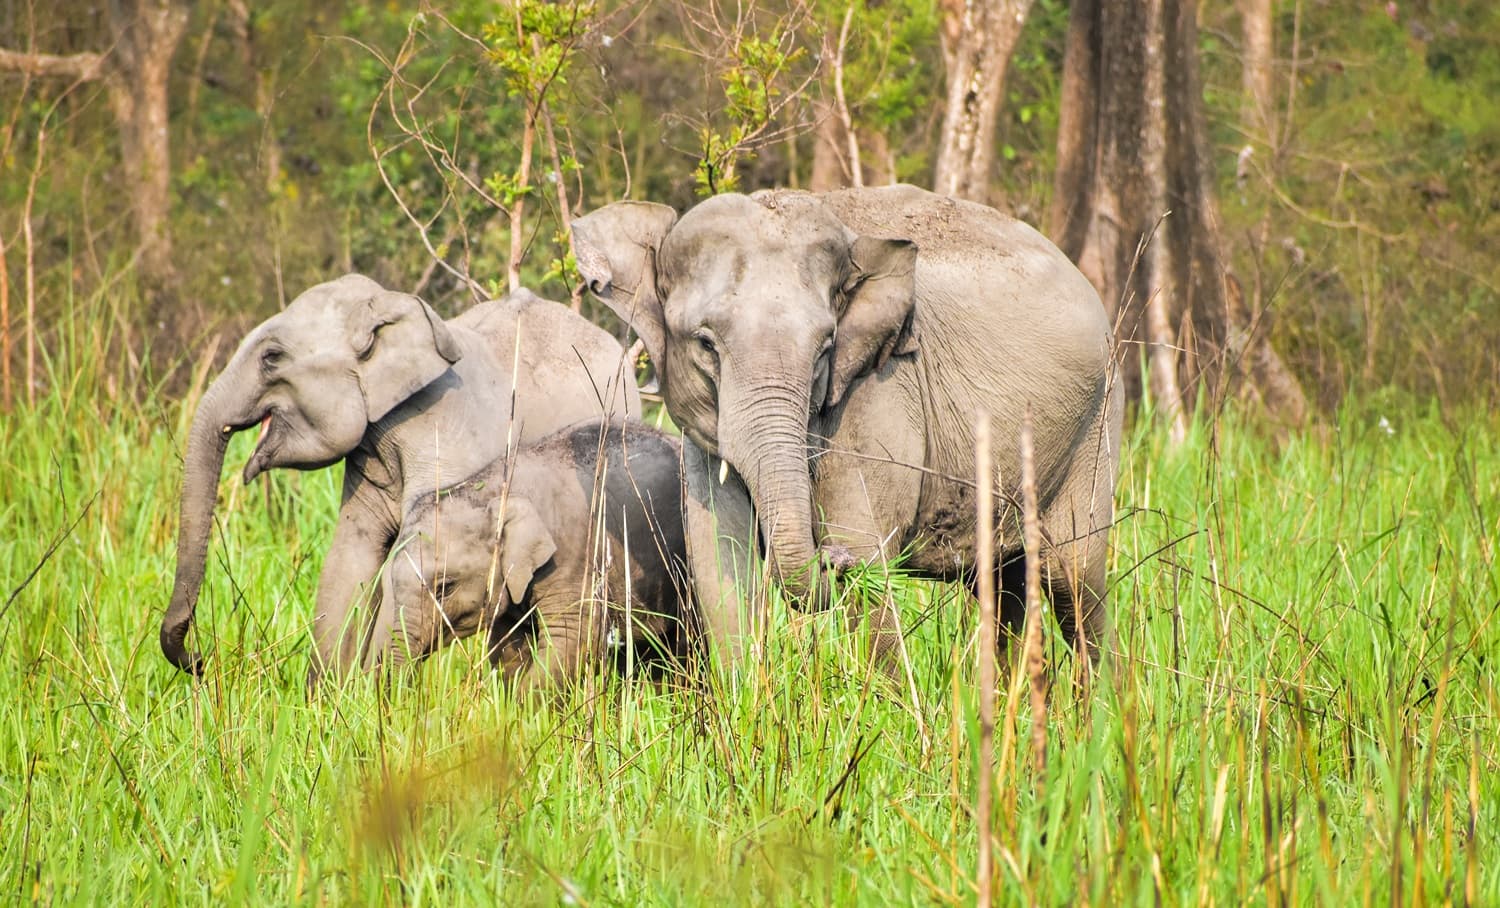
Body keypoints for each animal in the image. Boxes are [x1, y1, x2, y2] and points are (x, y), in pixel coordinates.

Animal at [160, 273, 641, 682]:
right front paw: (329, 704)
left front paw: (373, 700)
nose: (200, 661)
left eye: (271, 357)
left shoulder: (447, 437)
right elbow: (351, 554)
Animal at [571, 183, 1122, 665]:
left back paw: (1098, 711)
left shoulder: (878, 392)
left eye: (826, 346)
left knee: (1074, 582)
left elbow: (868, 559)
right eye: (706, 344)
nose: (828, 557)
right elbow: (721, 566)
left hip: (1098, 424)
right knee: (1006, 585)